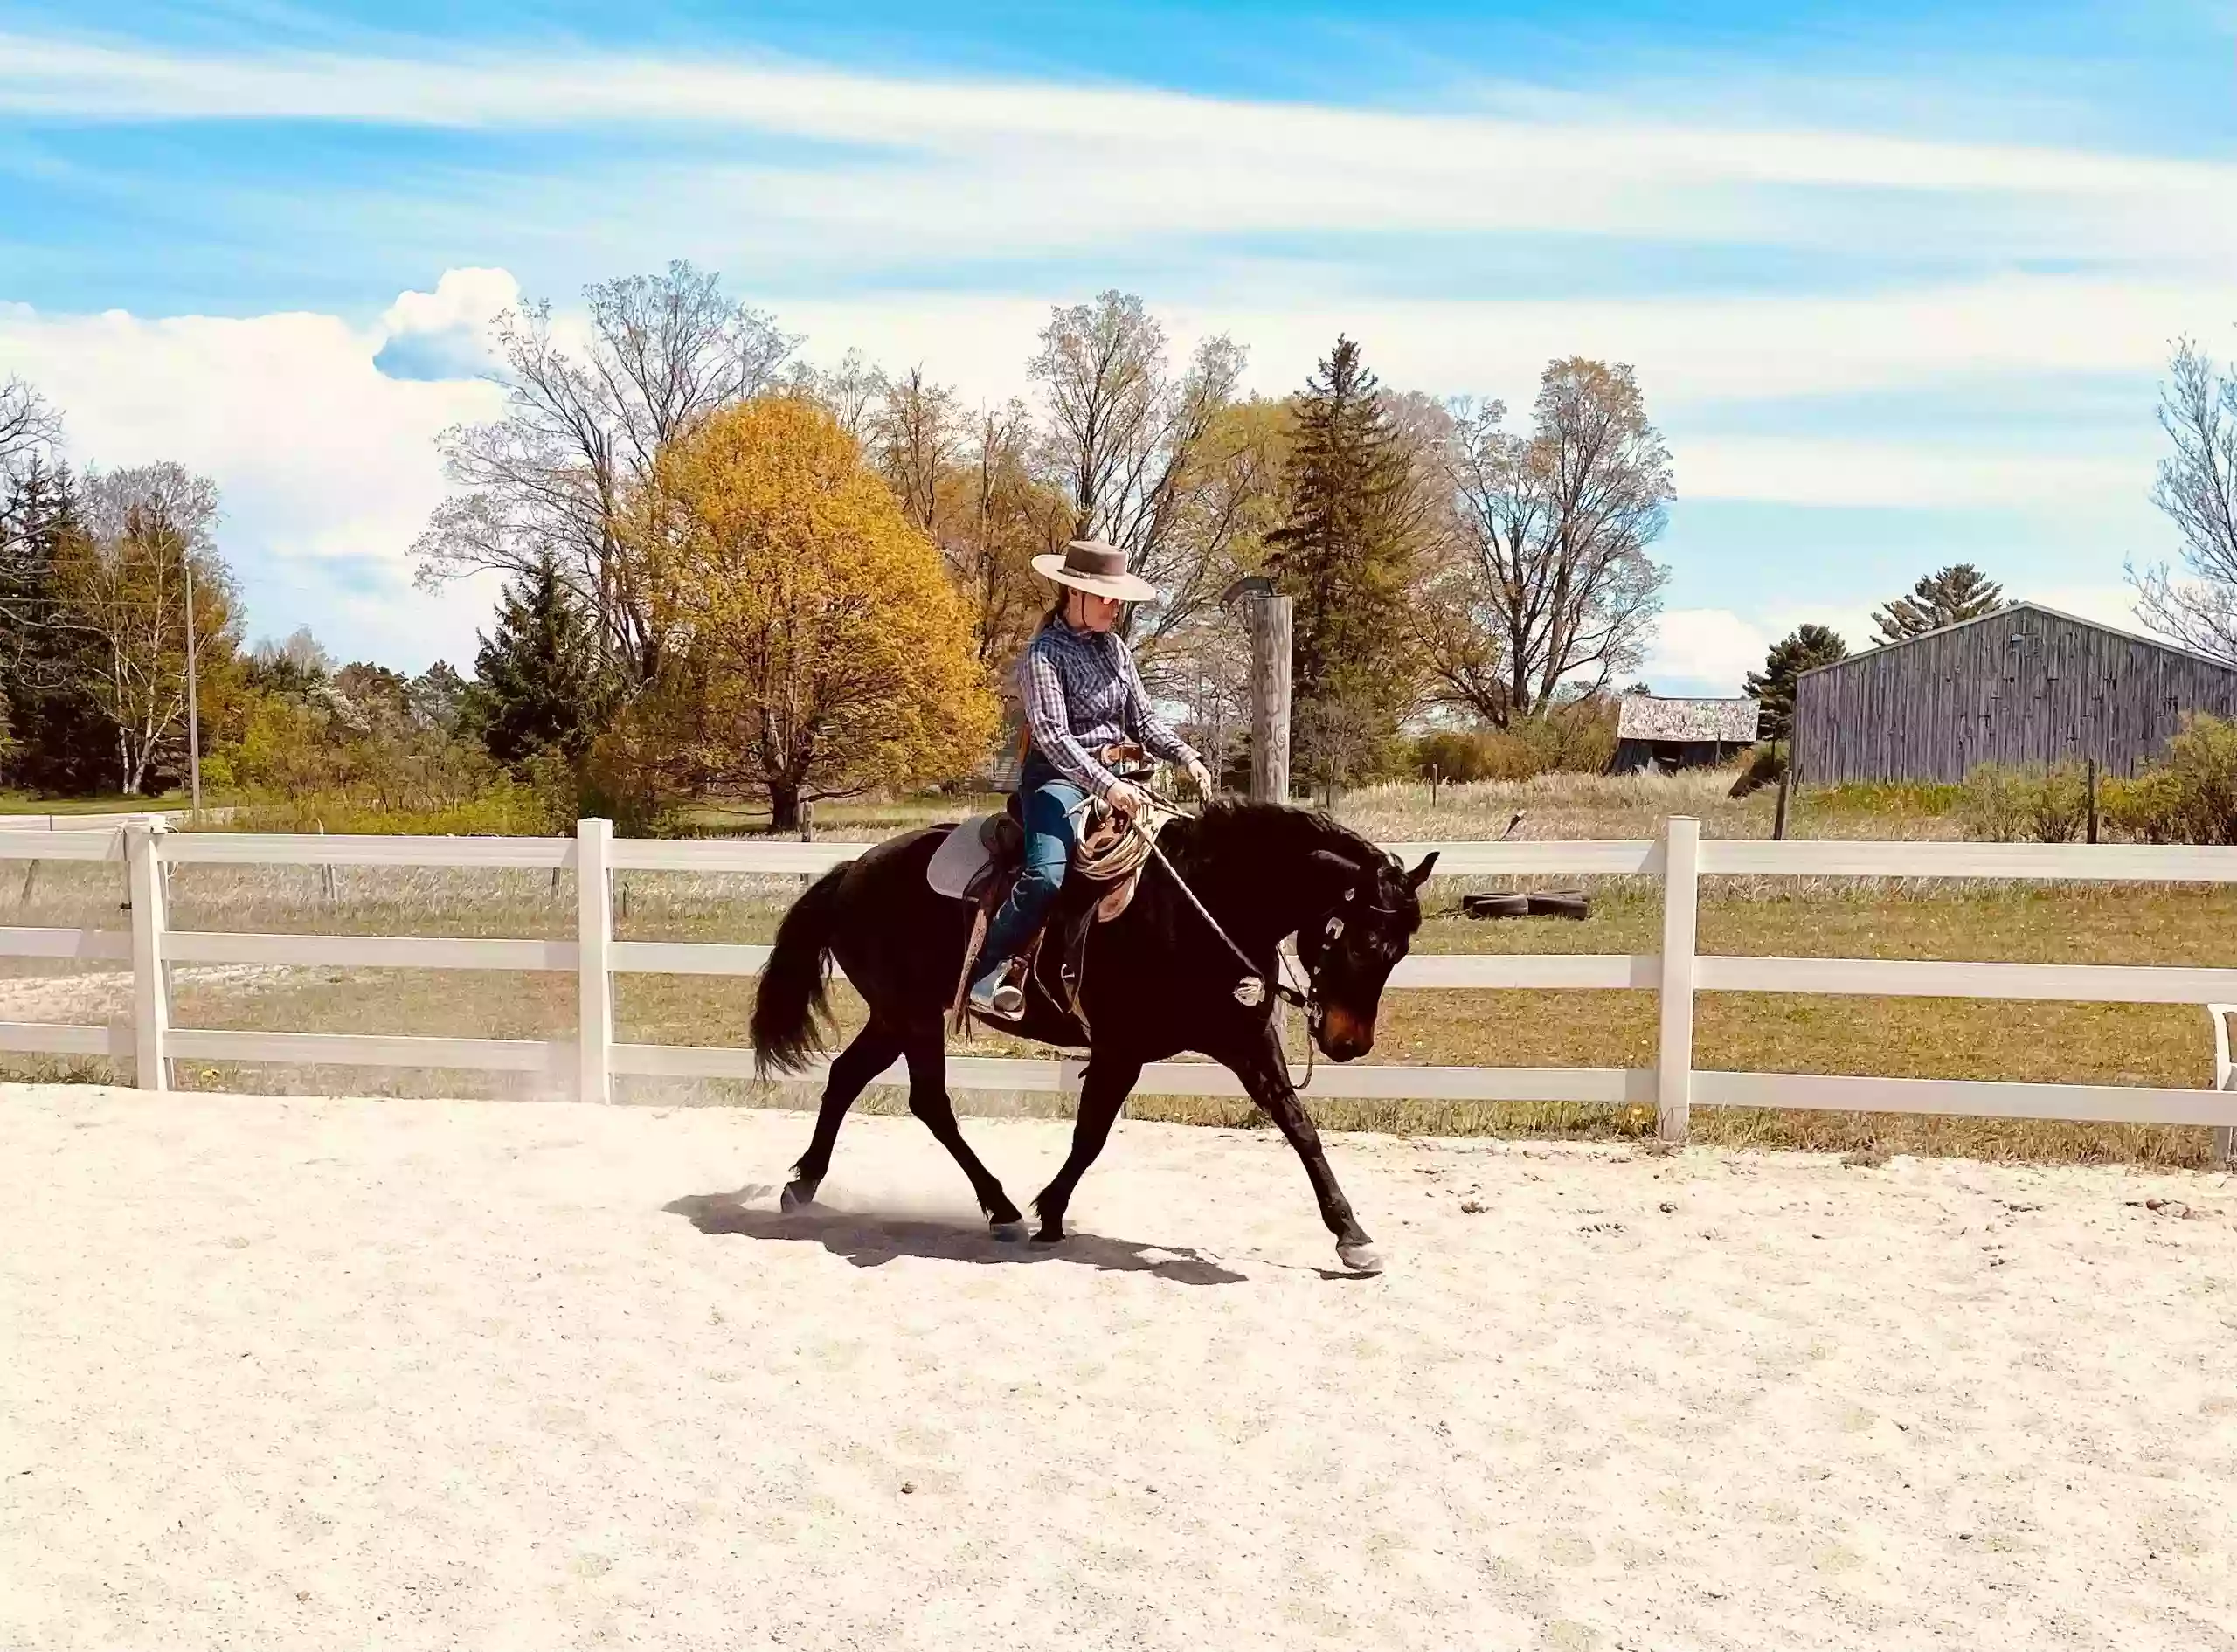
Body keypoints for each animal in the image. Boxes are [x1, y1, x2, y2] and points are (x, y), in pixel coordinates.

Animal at [747, 800, 1431, 1278]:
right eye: (1363, 942)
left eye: (1399, 951)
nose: (1349, 1043)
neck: (1201, 906)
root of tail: (849, 871)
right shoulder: (1120, 1050)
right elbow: (1092, 1134)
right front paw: (1049, 1211)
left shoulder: (1246, 1040)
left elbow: (1299, 1126)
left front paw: (1352, 1236)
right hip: (911, 1017)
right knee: (930, 1102)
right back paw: (999, 1207)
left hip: (894, 1017)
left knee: (847, 1078)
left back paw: (803, 1184)